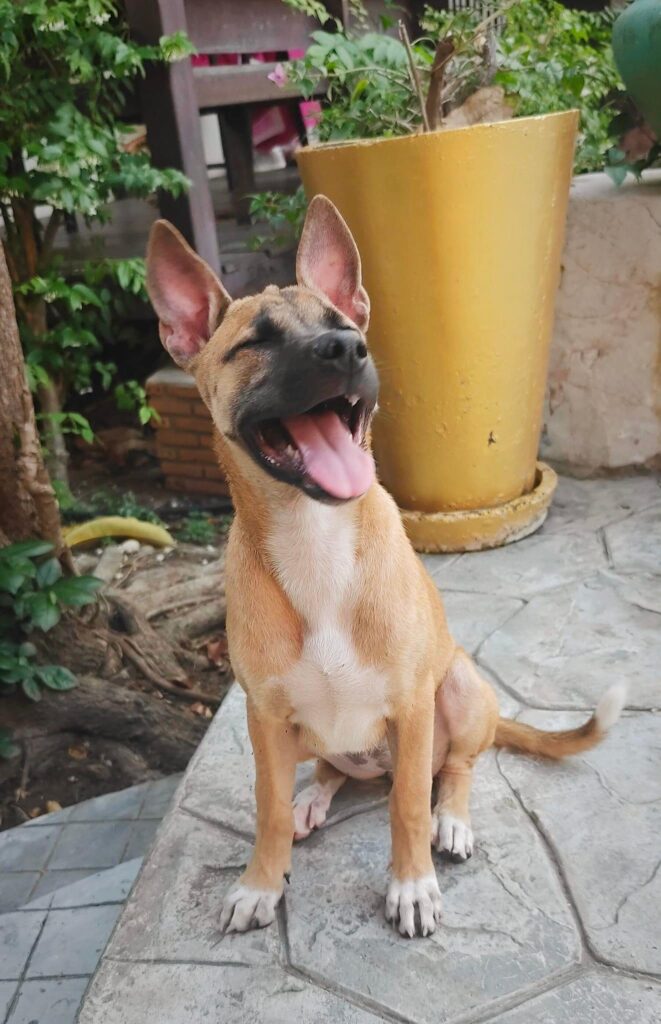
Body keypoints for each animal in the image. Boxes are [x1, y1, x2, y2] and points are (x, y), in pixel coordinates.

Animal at [145, 195, 626, 937]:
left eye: (341, 325)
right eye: (253, 341)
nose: (347, 349)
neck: (315, 538)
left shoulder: (410, 703)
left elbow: (405, 806)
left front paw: (412, 886)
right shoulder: (264, 718)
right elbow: (267, 808)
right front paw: (260, 881)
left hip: (457, 687)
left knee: (454, 768)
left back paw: (450, 820)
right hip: (308, 736)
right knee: (334, 772)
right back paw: (316, 799)